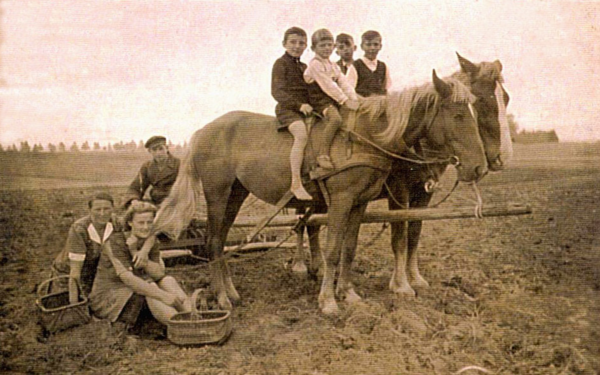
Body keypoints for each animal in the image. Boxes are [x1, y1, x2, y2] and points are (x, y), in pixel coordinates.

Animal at [154, 70, 488, 314]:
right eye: (459, 115)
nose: (480, 167)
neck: (366, 136)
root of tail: (201, 132)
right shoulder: (345, 201)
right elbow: (333, 249)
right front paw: (328, 301)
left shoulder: (360, 204)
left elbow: (349, 248)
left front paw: (348, 293)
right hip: (217, 194)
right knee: (212, 242)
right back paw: (222, 298)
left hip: (236, 194)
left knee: (221, 241)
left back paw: (230, 293)